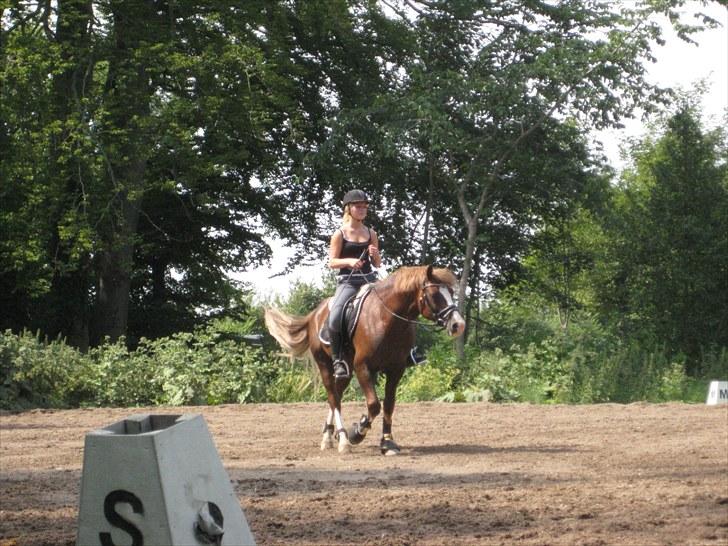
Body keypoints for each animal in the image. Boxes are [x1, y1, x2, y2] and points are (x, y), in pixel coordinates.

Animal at [264, 265, 466, 455]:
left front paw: (387, 442)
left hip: (345, 370)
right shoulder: (362, 367)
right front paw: (357, 432)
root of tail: (315, 314)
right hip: (325, 364)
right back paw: (342, 440)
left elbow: (389, 405)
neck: (386, 318)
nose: (459, 325)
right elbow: (374, 405)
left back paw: (329, 434)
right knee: (333, 397)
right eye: (434, 294)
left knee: (337, 395)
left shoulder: (396, 369)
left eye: (451, 293)